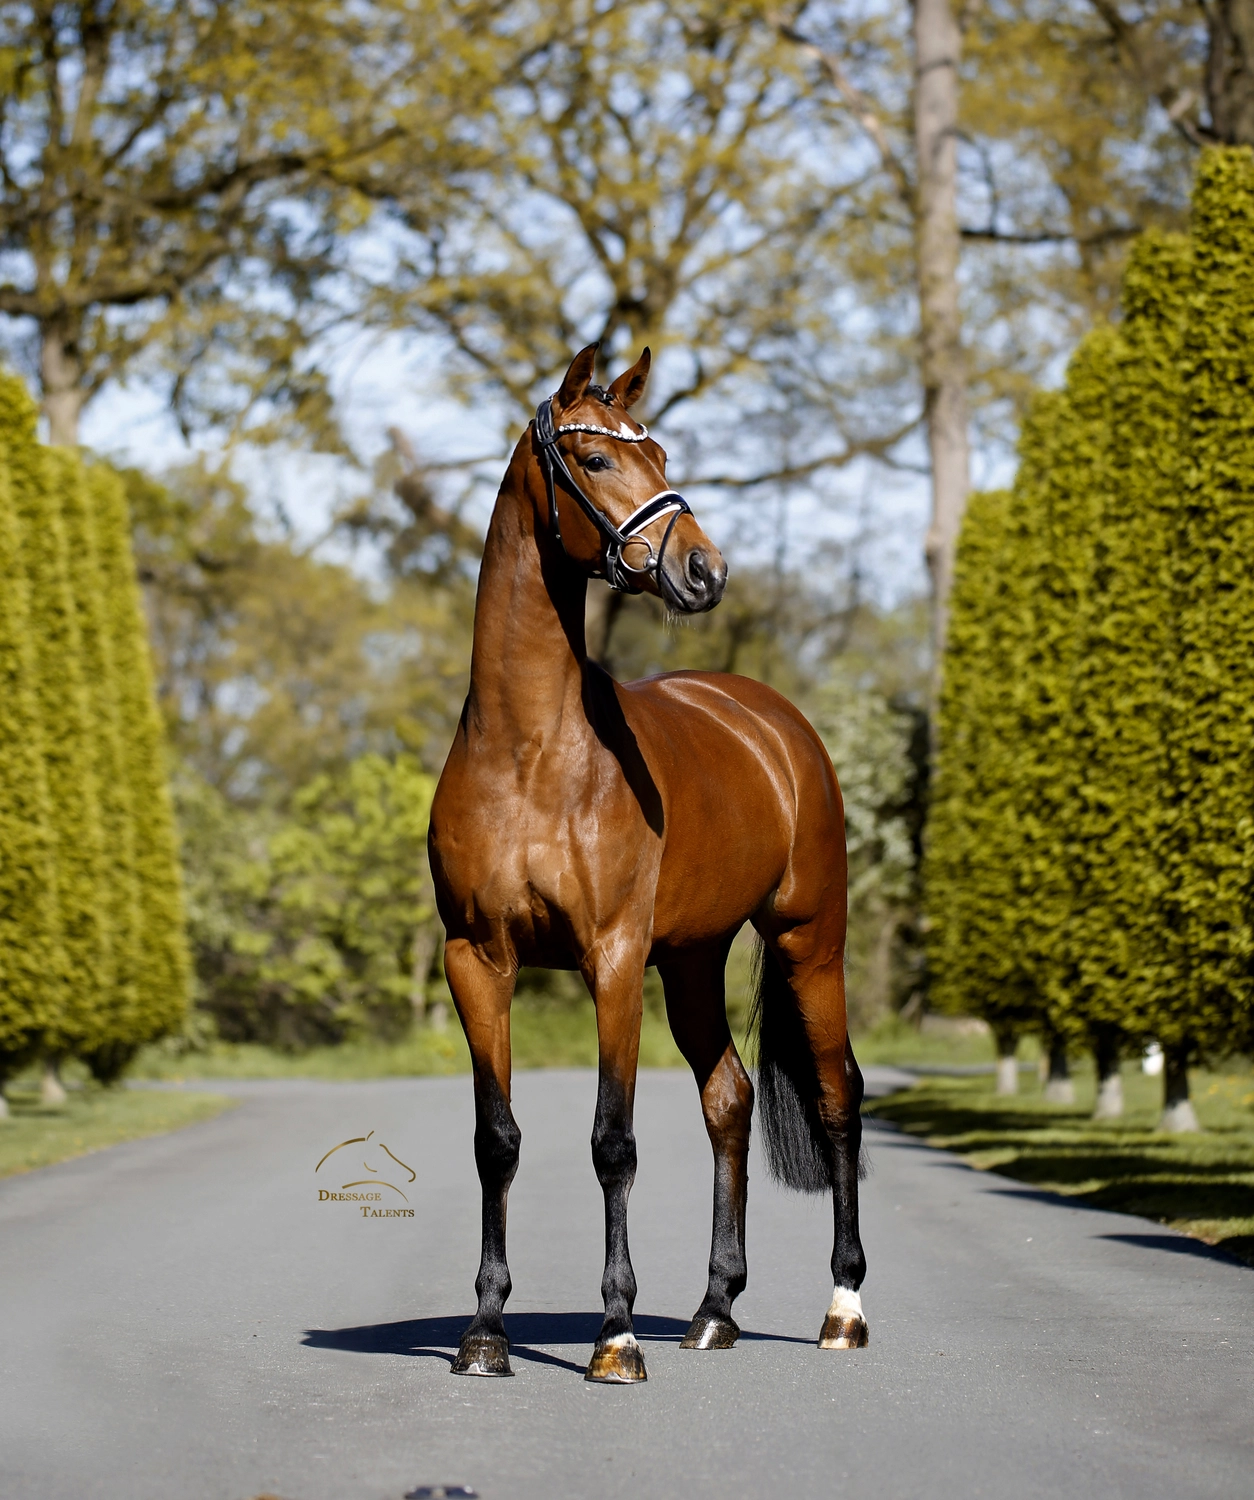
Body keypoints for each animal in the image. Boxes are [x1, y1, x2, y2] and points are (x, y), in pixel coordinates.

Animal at [428, 344, 867, 1383]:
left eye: (658, 452)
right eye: (593, 460)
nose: (704, 569)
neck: (530, 754)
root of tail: (774, 722)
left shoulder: (614, 959)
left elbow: (612, 1142)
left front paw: (616, 1335)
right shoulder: (477, 960)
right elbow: (497, 1139)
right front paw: (485, 1330)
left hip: (809, 942)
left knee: (838, 1099)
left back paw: (842, 1309)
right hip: (696, 962)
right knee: (730, 1100)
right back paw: (714, 1310)